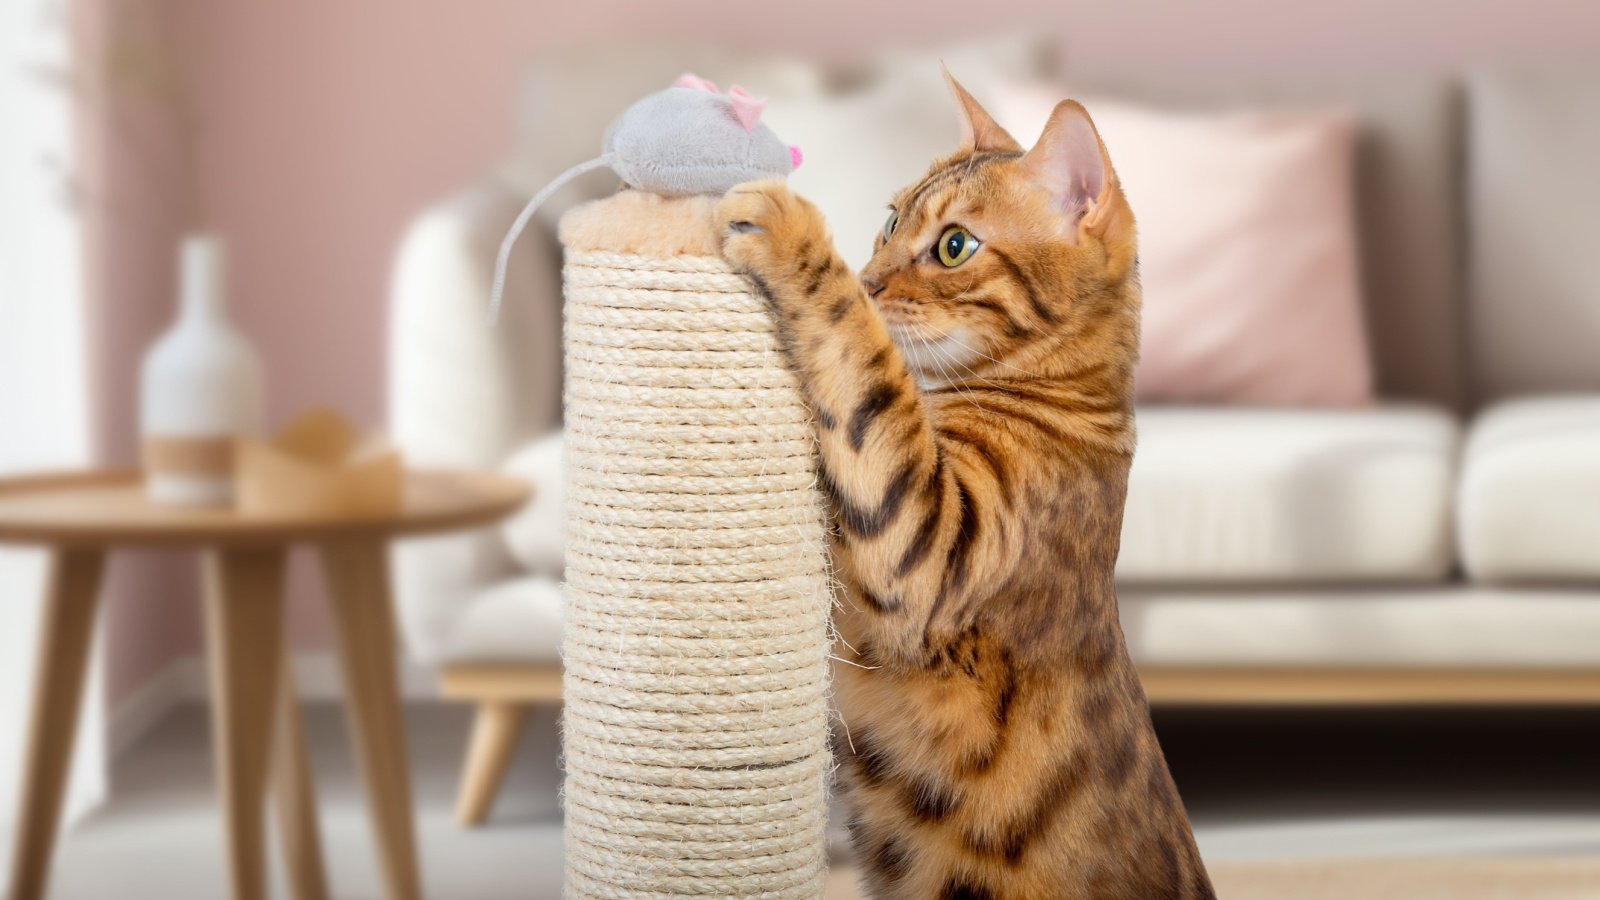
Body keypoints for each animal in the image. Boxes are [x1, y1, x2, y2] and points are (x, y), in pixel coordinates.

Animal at [713, 76, 1209, 896]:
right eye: (889, 222)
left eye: (953, 246)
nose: (872, 277)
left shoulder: (933, 542)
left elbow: (865, 362)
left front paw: (794, 233)